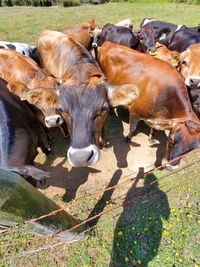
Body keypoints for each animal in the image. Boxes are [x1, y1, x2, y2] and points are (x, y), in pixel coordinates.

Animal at [98, 42, 200, 172]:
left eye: (193, 149)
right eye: (171, 139)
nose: (170, 167)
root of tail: (108, 43)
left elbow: (154, 128)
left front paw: (151, 138)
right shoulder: (135, 112)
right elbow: (133, 128)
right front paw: (128, 138)